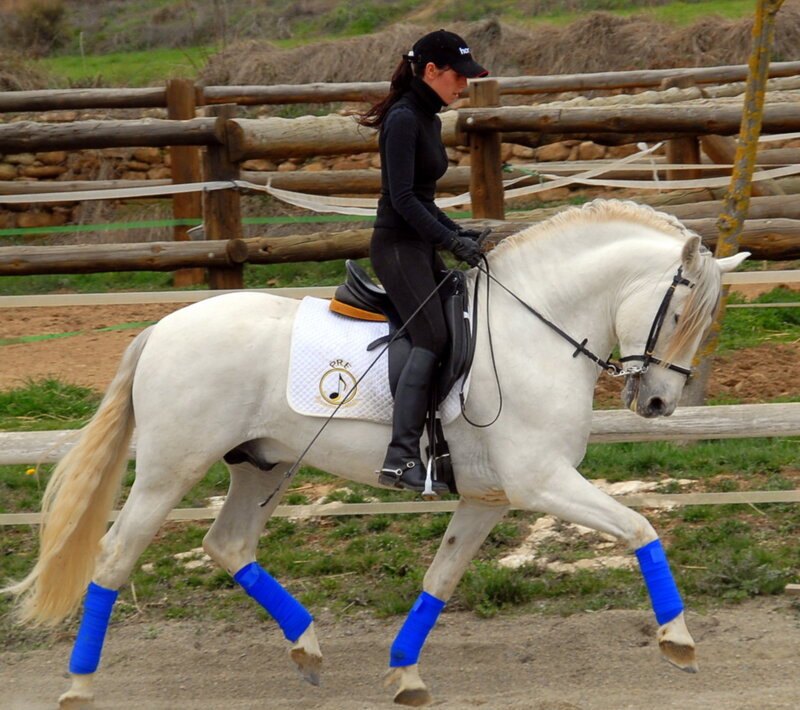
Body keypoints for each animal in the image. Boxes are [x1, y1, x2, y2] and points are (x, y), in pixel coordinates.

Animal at [4, 199, 748, 708]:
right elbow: (641, 528)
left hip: (265, 465)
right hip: (170, 470)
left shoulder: (489, 498)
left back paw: (307, 649)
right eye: (679, 315)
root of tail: (162, 327)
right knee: (114, 556)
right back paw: (79, 685)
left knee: (229, 543)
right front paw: (678, 641)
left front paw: (405, 673)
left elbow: (440, 580)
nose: (659, 403)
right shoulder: (543, 482)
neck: (535, 328)